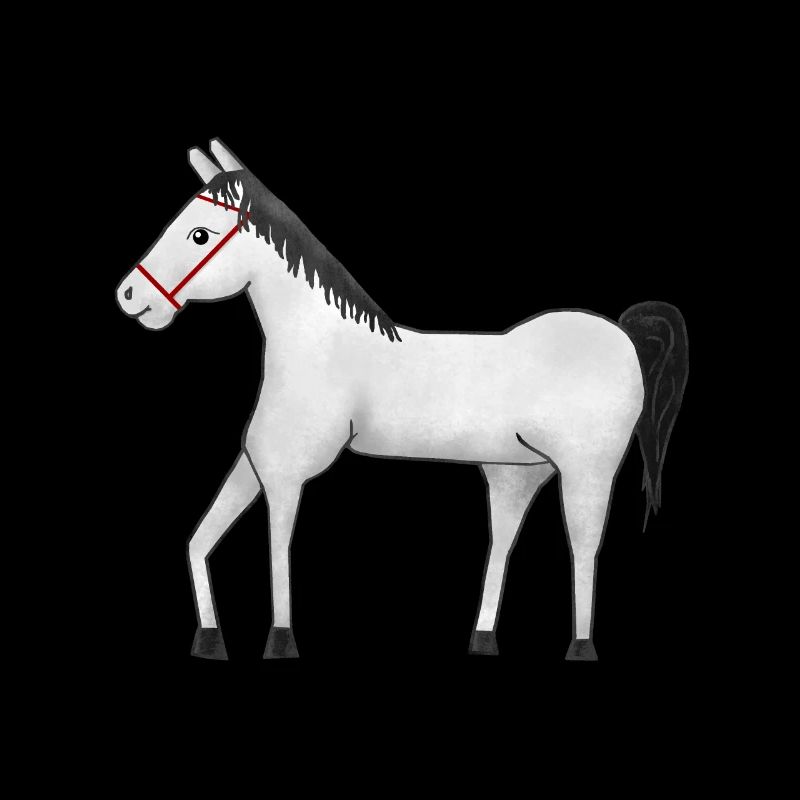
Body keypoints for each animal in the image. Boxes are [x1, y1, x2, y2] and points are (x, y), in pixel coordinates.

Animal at [116, 139, 689, 661]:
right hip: (518, 473)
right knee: (505, 541)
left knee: (584, 545)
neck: (316, 343)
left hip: (586, 470)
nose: (129, 296)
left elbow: (278, 549)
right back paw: (483, 641)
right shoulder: (258, 462)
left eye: (200, 234)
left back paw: (581, 648)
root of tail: (623, 335)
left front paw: (280, 642)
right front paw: (209, 639)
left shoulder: (285, 474)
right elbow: (199, 541)